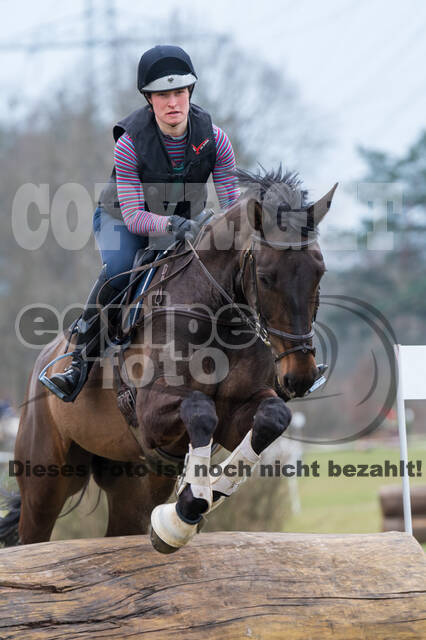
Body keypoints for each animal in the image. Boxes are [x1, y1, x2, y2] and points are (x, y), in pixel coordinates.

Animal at [0, 169, 336, 552]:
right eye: (265, 277)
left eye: (320, 272)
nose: (300, 376)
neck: (216, 315)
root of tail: (47, 358)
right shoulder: (150, 411)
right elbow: (200, 409)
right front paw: (186, 510)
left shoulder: (238, 412)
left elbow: (271, 418)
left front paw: (210, 493)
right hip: (46, 479)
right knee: (33, 533)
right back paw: (67, 377)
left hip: (132, 479)